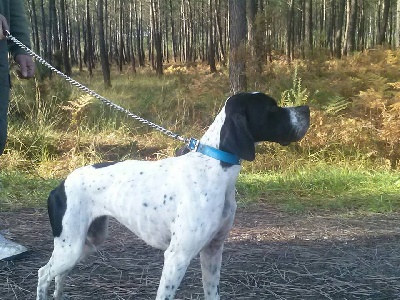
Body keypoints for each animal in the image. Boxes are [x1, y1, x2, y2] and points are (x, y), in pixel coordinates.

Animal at [36, 92, 310, 298]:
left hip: (85, 244)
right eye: (272, 107)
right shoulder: (177, 257)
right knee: (43, 274)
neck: (214, 167)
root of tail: (59, 185)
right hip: (70, 248)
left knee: (57, 276)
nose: (307, 109)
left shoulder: (213, 251)